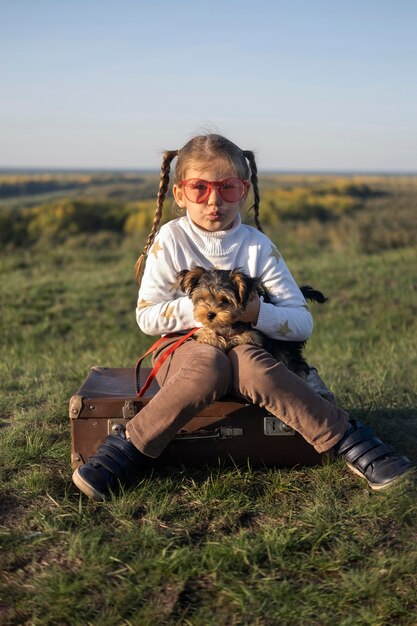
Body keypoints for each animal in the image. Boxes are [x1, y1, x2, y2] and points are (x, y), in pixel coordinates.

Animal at [176, 264, 324, 376]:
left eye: (225, 300)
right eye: (203, 298)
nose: (210, 314)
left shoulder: (255, 335)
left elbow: (244, 336)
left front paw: (225, 339)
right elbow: (206, 331)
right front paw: (210, 336)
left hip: (285, 347)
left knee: (295, 363)